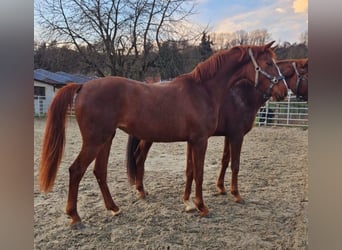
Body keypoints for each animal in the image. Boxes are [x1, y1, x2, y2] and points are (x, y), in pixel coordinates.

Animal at [38, 41, 288, 225]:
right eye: (268, 62)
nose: (283, 91)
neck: (203, 90)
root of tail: (83, 87)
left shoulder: (192, 141)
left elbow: (190, 172)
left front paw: (189, 204)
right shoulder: (201, 141)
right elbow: (199, 173)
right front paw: (202, 206)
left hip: (106, 139)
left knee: (100, 172)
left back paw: (114, 208)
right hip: (95, 141)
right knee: (76, 170)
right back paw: (74, 216)